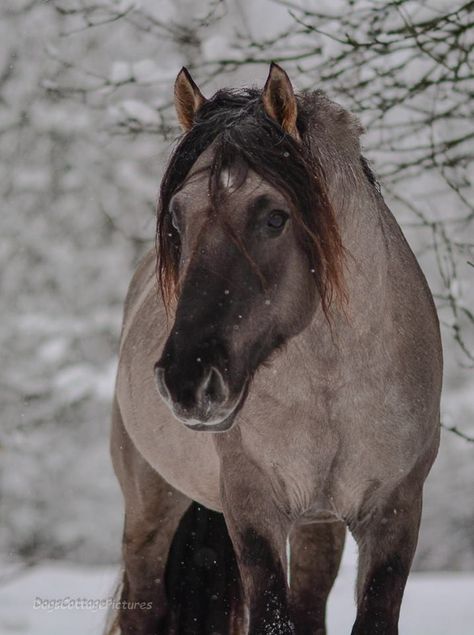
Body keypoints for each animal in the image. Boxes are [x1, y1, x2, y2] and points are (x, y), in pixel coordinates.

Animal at [109, 60, 442, 635]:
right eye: (175, 219)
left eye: (274, 217)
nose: (187, 380)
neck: (333, 384)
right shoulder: (254, 510)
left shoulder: (396, 513)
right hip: (150, 506)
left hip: (317, 525)